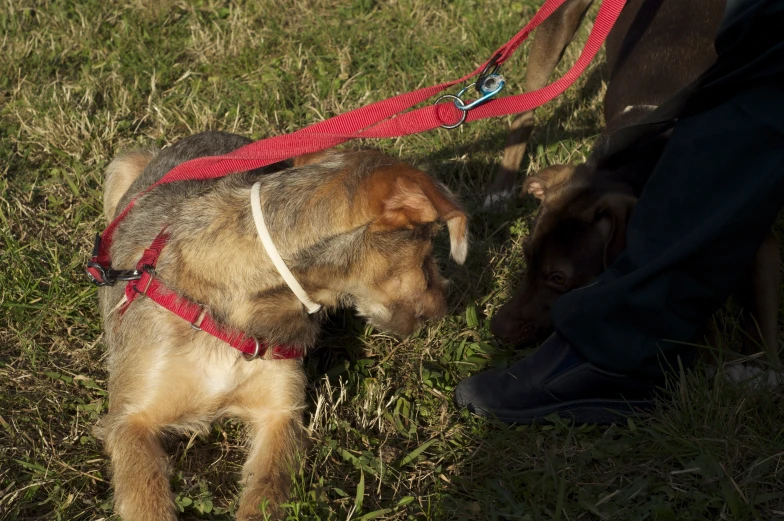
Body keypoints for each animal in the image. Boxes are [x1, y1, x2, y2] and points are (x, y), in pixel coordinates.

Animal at [95, 129, 468, 516]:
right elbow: (146, 500)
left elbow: (266, 496)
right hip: (124, 167)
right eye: (427, 252)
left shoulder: (280, 413)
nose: (448, 304)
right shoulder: (130, 420)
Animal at [490, 0, 784, 366]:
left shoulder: (759, 236)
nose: (497, 329)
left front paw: (759, 367)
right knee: (525, 111)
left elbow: (761, 319)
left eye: (559, 277)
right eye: (526, 256)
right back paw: (500, 190)